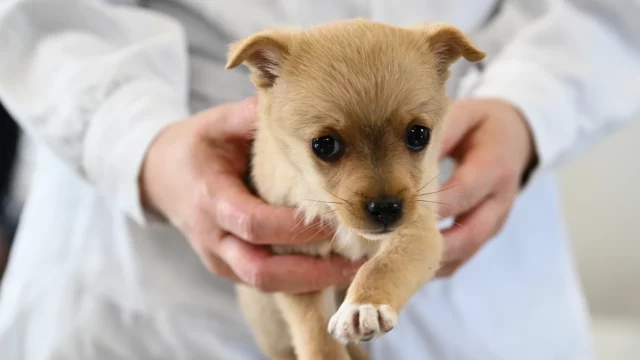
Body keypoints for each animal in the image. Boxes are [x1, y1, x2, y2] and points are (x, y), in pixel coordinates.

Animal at [228, 19, 482, 360]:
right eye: (324, 145)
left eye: (419, 135)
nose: (386, 209)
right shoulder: (297, 270)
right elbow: (315, 335)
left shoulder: (417, 233)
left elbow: (385, 265)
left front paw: (365, 305)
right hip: (267, 322)